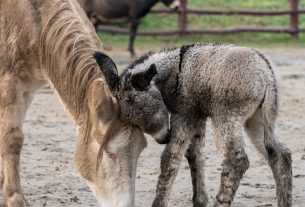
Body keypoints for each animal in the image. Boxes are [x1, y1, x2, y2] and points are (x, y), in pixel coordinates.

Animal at [111, 42, 290, 206]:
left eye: (140, 106)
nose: (162, 138)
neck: (176, 70)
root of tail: (266, 72)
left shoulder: (184, 115)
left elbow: (171, 157)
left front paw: (159, 203)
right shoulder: (198, 117)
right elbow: (194, 155)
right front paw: (199, 200)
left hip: (226, 118)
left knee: (237, 161)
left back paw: (220, 202)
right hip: (258, 120)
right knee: (280, 154)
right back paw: (284, 201)